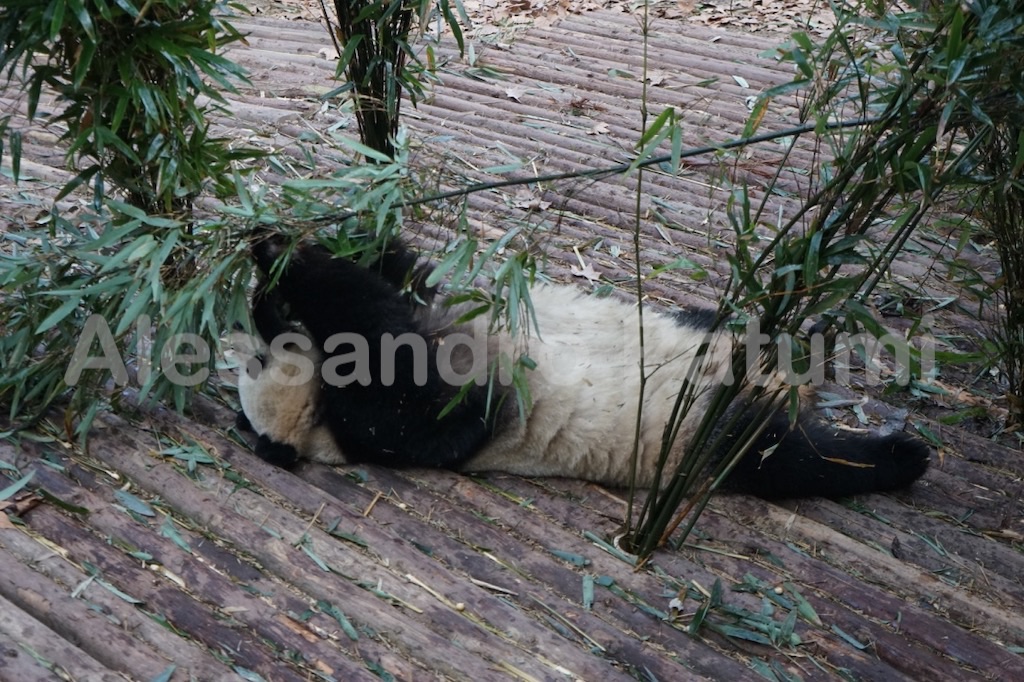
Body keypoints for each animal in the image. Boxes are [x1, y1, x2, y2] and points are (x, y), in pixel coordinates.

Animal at [235, 234, 930, 499]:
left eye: (258, 356)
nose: (258, 342)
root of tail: (777, 381)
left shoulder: (444, 308)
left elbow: (404, 276)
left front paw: (280, 258)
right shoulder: (414, 428)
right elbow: (421, 390)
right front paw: (284, 265)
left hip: (704, 330)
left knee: (728, 324)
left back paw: (803, 337)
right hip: (702, 433)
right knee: (793, 457)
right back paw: (902, 455)